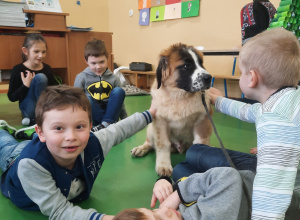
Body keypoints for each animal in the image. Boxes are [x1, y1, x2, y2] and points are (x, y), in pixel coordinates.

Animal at [130, 43, 212, 177]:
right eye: (186, 66)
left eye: (201, 63)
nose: (209, 78)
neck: (179, 96)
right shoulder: (160, 122)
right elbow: (163, 144)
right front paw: (164, 165)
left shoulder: (202, 121)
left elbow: (200, 144)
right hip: (151, 129)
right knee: (150, 143)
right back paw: (141, 148)